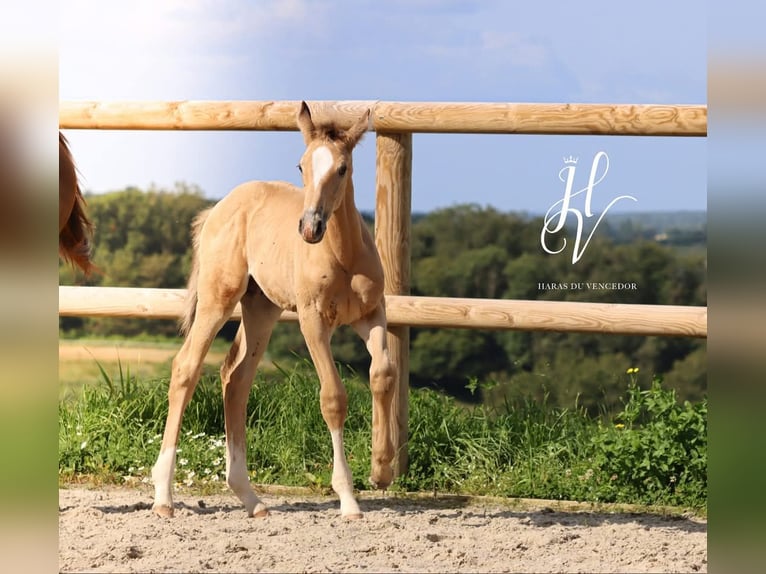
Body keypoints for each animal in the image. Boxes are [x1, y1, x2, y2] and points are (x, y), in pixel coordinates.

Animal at [152, 101, 400, 520]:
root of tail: (218, 208)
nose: (310, 228)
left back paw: (250, 498)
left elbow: (383, 374)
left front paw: (381, 470)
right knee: (186, 369)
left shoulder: (370, 314)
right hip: (219, 298)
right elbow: (333, 398)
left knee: (235, 378)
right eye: (301, 166)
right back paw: (163, 496)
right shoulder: (313, 320)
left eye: (342, 168)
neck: (343, 255)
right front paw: (348, 498)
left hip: (261, 309)